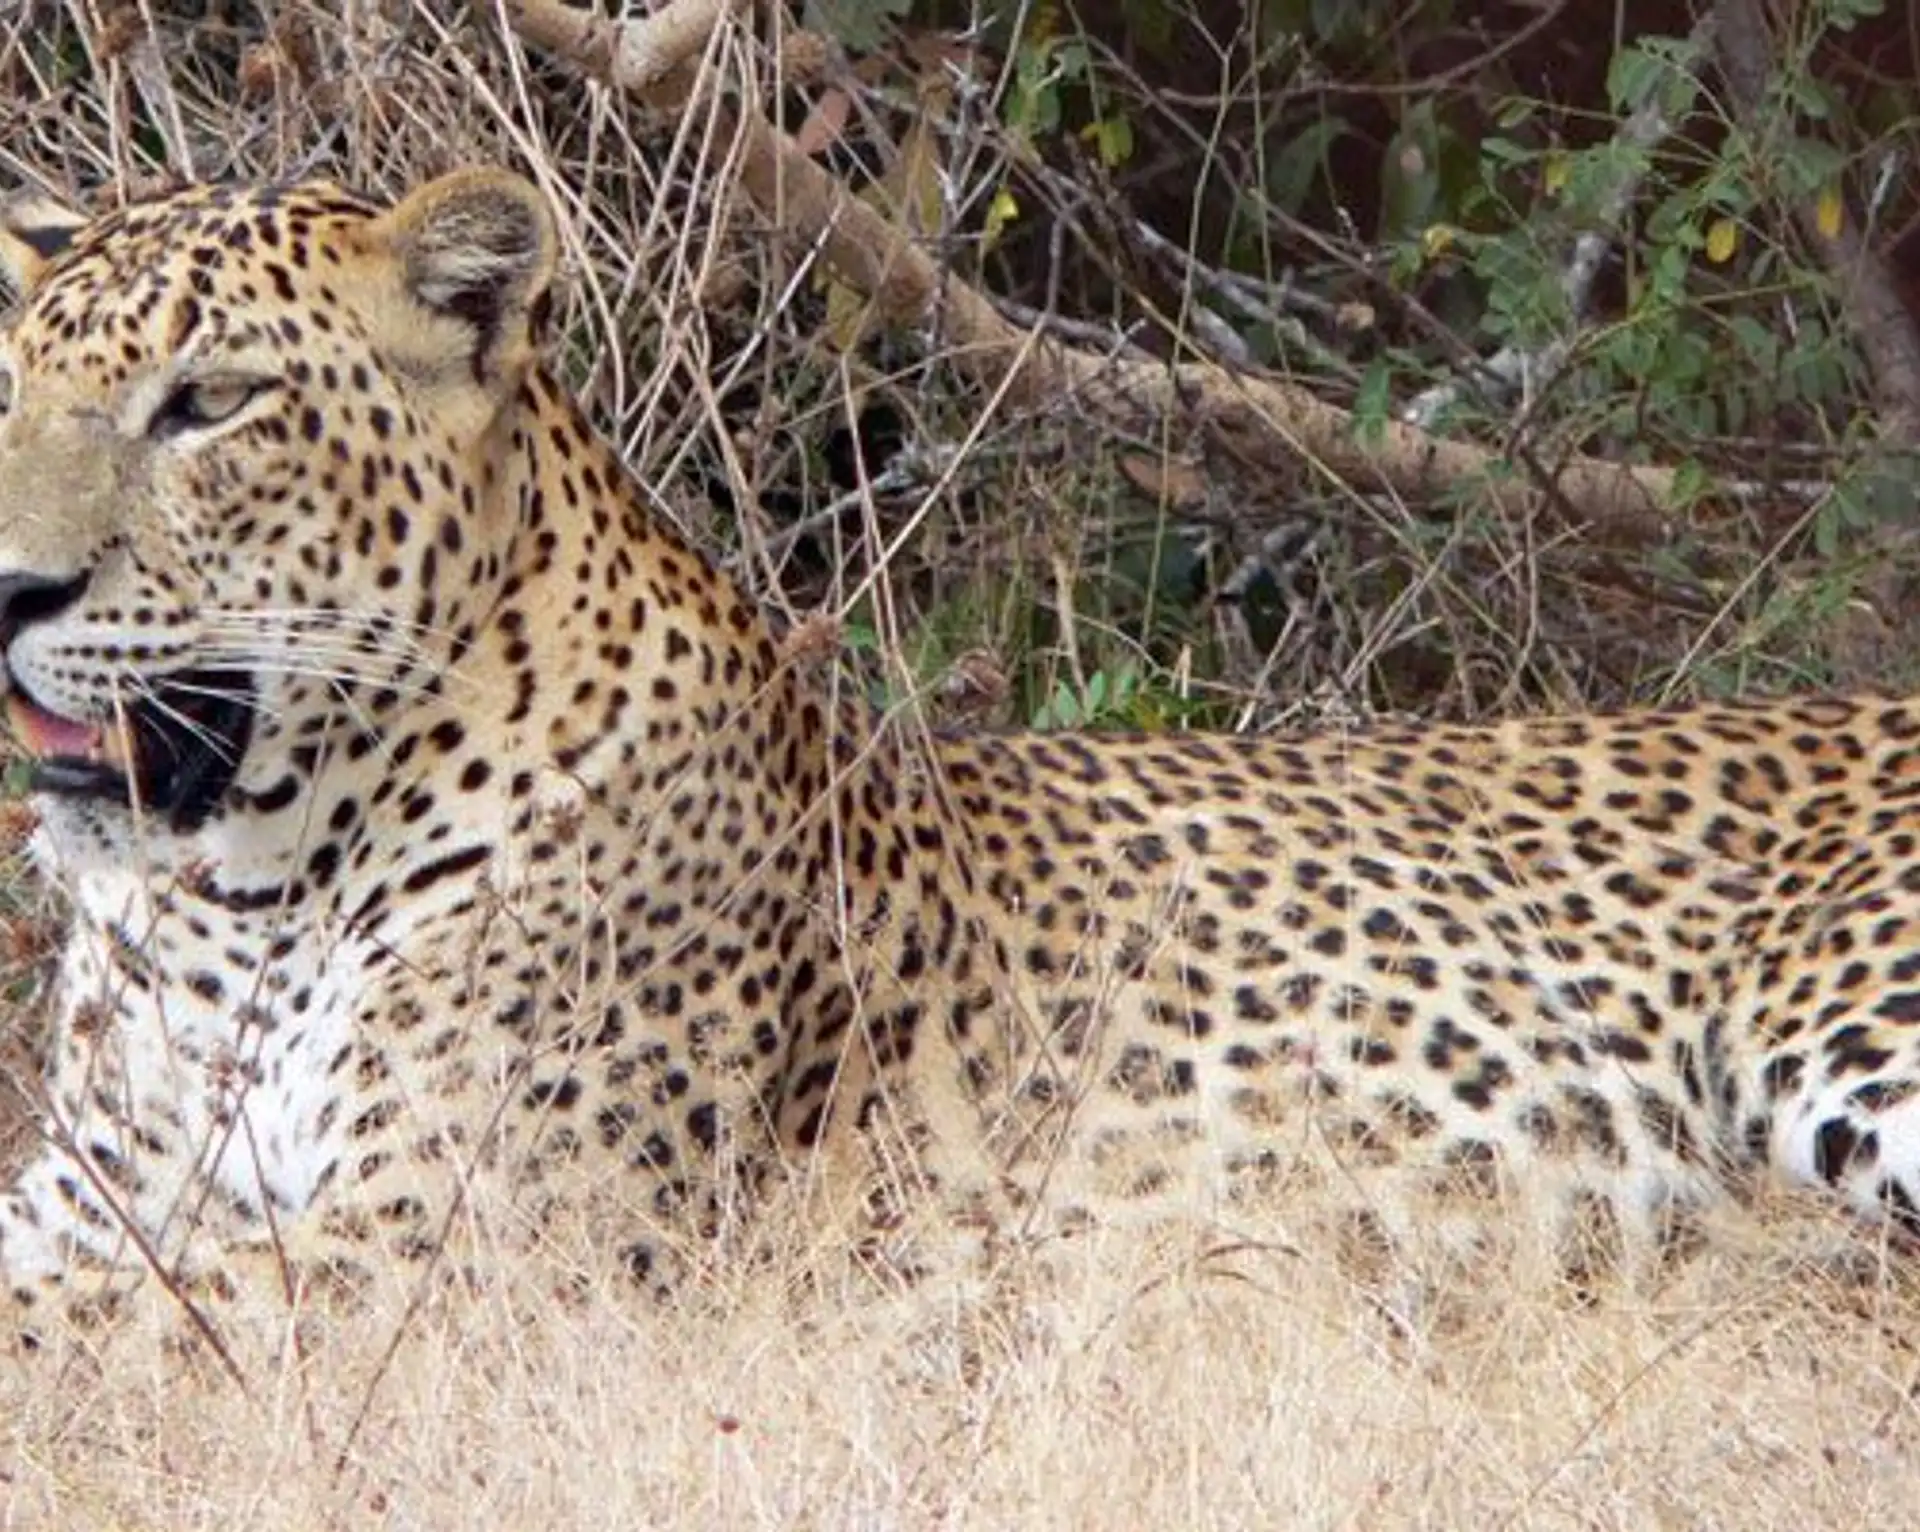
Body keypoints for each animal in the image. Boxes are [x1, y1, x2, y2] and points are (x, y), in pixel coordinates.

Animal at [0, 164, 1918, 1331]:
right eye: (10, 387)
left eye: (212, 403)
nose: (8, 585)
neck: (240, 894)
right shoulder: (103, 1202)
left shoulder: (462, 1244)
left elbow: (66, 1338)